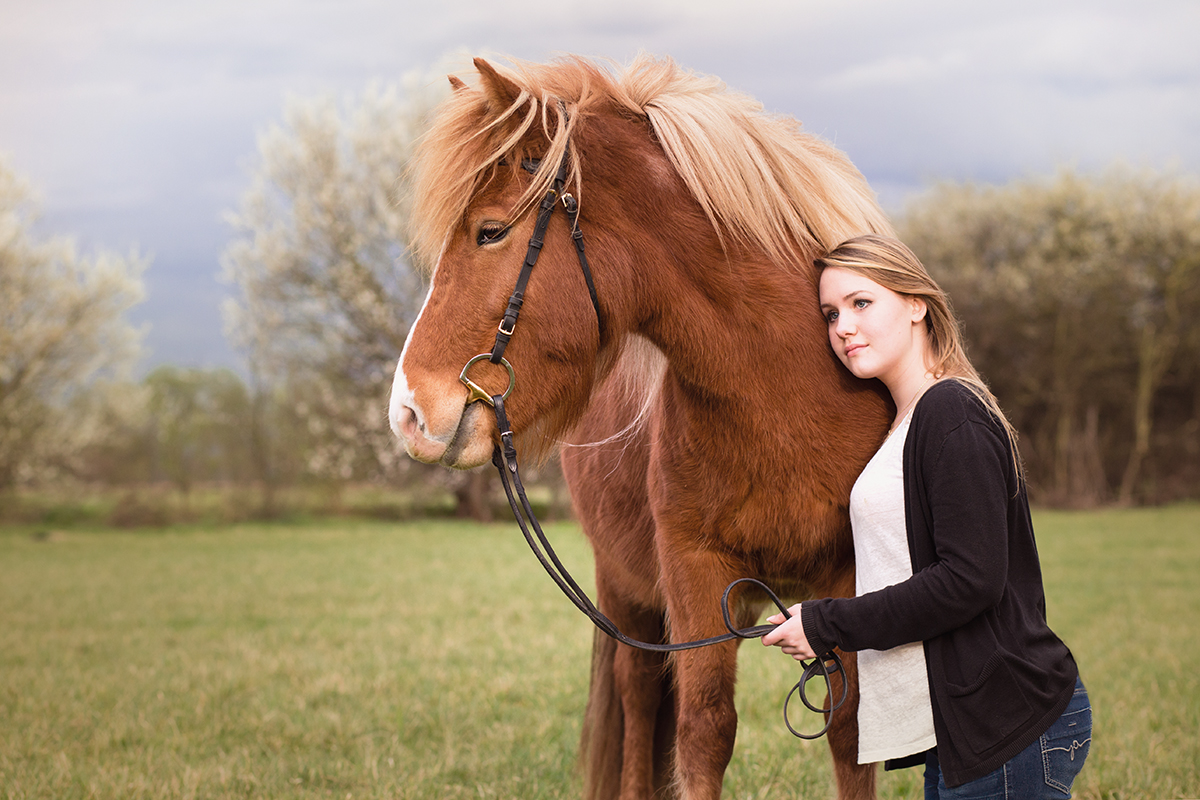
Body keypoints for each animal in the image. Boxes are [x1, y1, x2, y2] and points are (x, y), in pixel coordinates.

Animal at [391, 56, 892, 800]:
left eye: (489, 231)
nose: (408, 411)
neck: (790, 397)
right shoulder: (693, 573)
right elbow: (703, 731)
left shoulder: (851, 578)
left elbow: (850, 731)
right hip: (628, 592)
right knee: (639, 695)